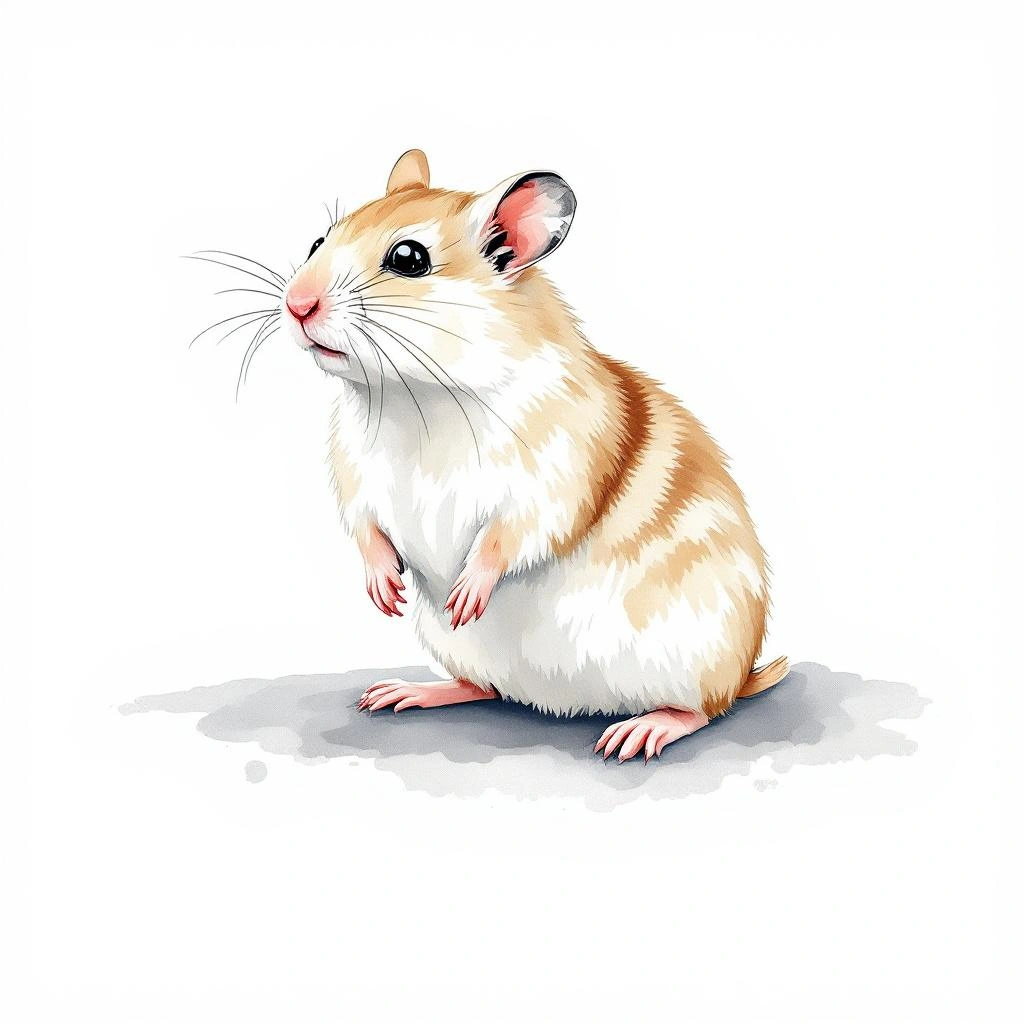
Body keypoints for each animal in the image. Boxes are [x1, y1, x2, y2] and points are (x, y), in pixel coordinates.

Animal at [281, 149, 788, 763]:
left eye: (408, 258)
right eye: (317, 241)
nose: (296, 305)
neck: (415, 392)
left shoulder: (549, 478)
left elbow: (508, 536)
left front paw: (466, 596)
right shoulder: (356, 473)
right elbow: (366, 530)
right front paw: (386, 592)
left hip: (693, 656)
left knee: (704, 710)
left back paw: (639, 732)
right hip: (457, 648)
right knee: (483, 687)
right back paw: (405, 692)